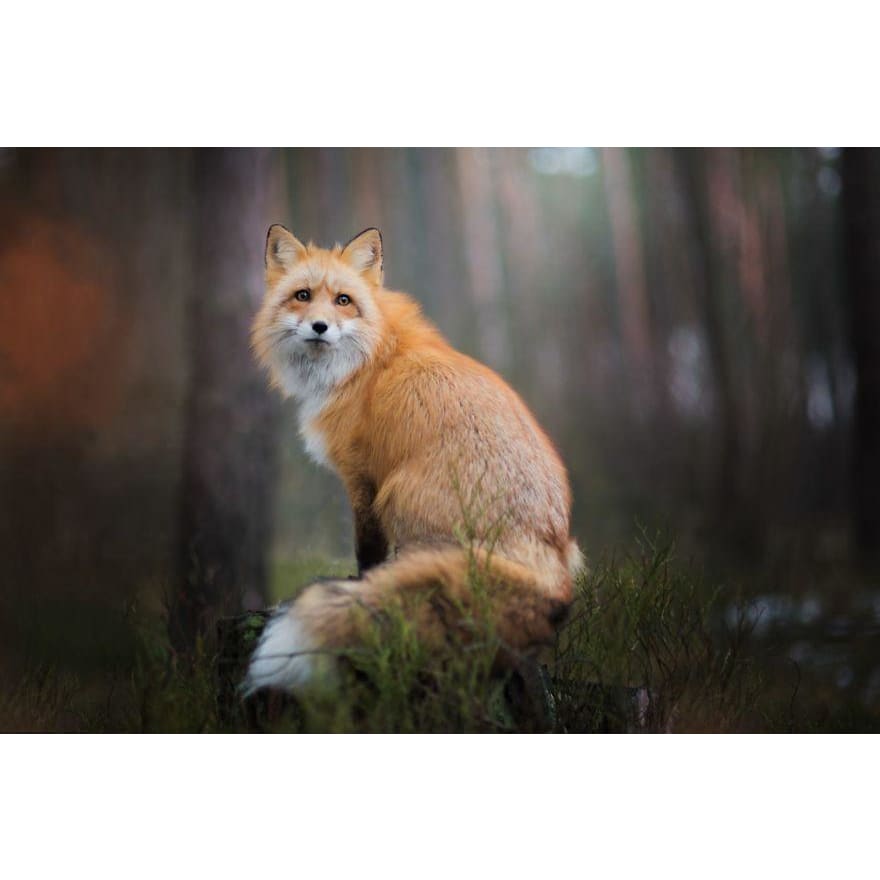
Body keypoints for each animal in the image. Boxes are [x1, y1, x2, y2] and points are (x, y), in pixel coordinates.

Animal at [243, 225, 583, 695]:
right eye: (302, 295)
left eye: (343, 300)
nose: (319, 326)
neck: (366, 361)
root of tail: (551, 575)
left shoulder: (363, 477)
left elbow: (366, 550)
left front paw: (362, 586)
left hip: (400, 494)